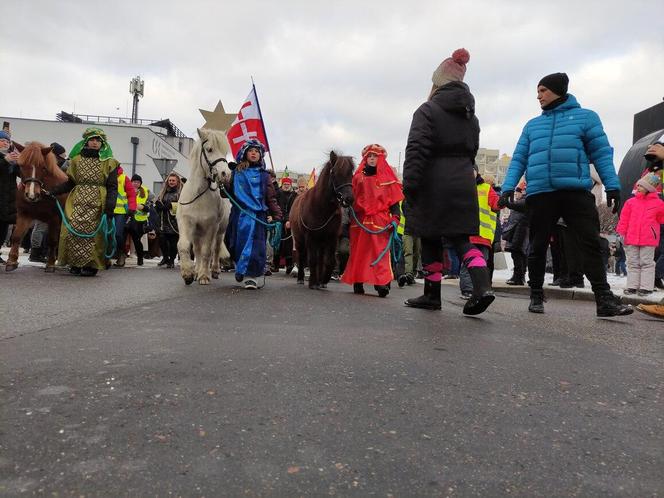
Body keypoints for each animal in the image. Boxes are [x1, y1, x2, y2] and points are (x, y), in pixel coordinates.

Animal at [6, 140, 68, 272]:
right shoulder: (24, 214)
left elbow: (52, 241)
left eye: (43, 167)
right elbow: (16, 236)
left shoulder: (55, 219)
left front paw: (50, 264)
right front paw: (11, 261)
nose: (31, 195)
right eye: (21, 165)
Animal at [176, 128, 231, 284]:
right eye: (209, 149)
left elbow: (208, 251)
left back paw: (214, 271)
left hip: (220, 231)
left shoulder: (211, 227)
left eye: (225, 152)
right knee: (197, 250)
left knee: (215, 249)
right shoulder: (186, 223)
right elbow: (184, 246)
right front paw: (188, 274)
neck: (198, 195)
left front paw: (204, 276)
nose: (226, 174)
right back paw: (196, 271)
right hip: (197, 232)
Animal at [290, 152, 356, 290]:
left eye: (351, 173)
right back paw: (301, 278)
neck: (321, 207)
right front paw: (312, 282)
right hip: (300, 240)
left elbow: (329, 260)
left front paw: (323, 281)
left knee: (320, 258)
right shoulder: (310, 237)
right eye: (335, 173)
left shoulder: (332, 237)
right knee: (301, 256)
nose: (349, 199)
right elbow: (312, 260)